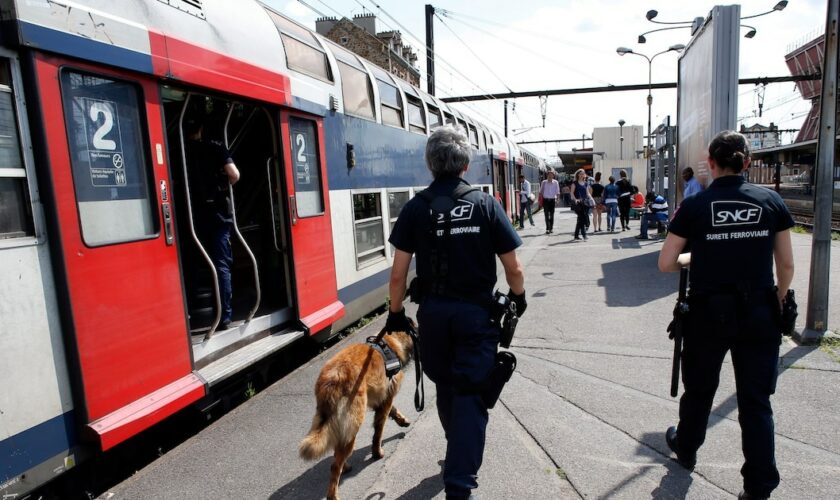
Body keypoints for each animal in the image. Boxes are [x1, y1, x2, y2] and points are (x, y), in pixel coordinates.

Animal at [298, 330, 414, 500]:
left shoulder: (381, 398)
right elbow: (378, 432)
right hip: (353, 424)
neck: (390, 342)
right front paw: (377, 453)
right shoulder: (386, 399)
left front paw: (402, 420)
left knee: (337, 452)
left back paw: (345, 466)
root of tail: (334, 378)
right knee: (335, 465)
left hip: (333, 422)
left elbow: (393, 410)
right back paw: (333, 494)